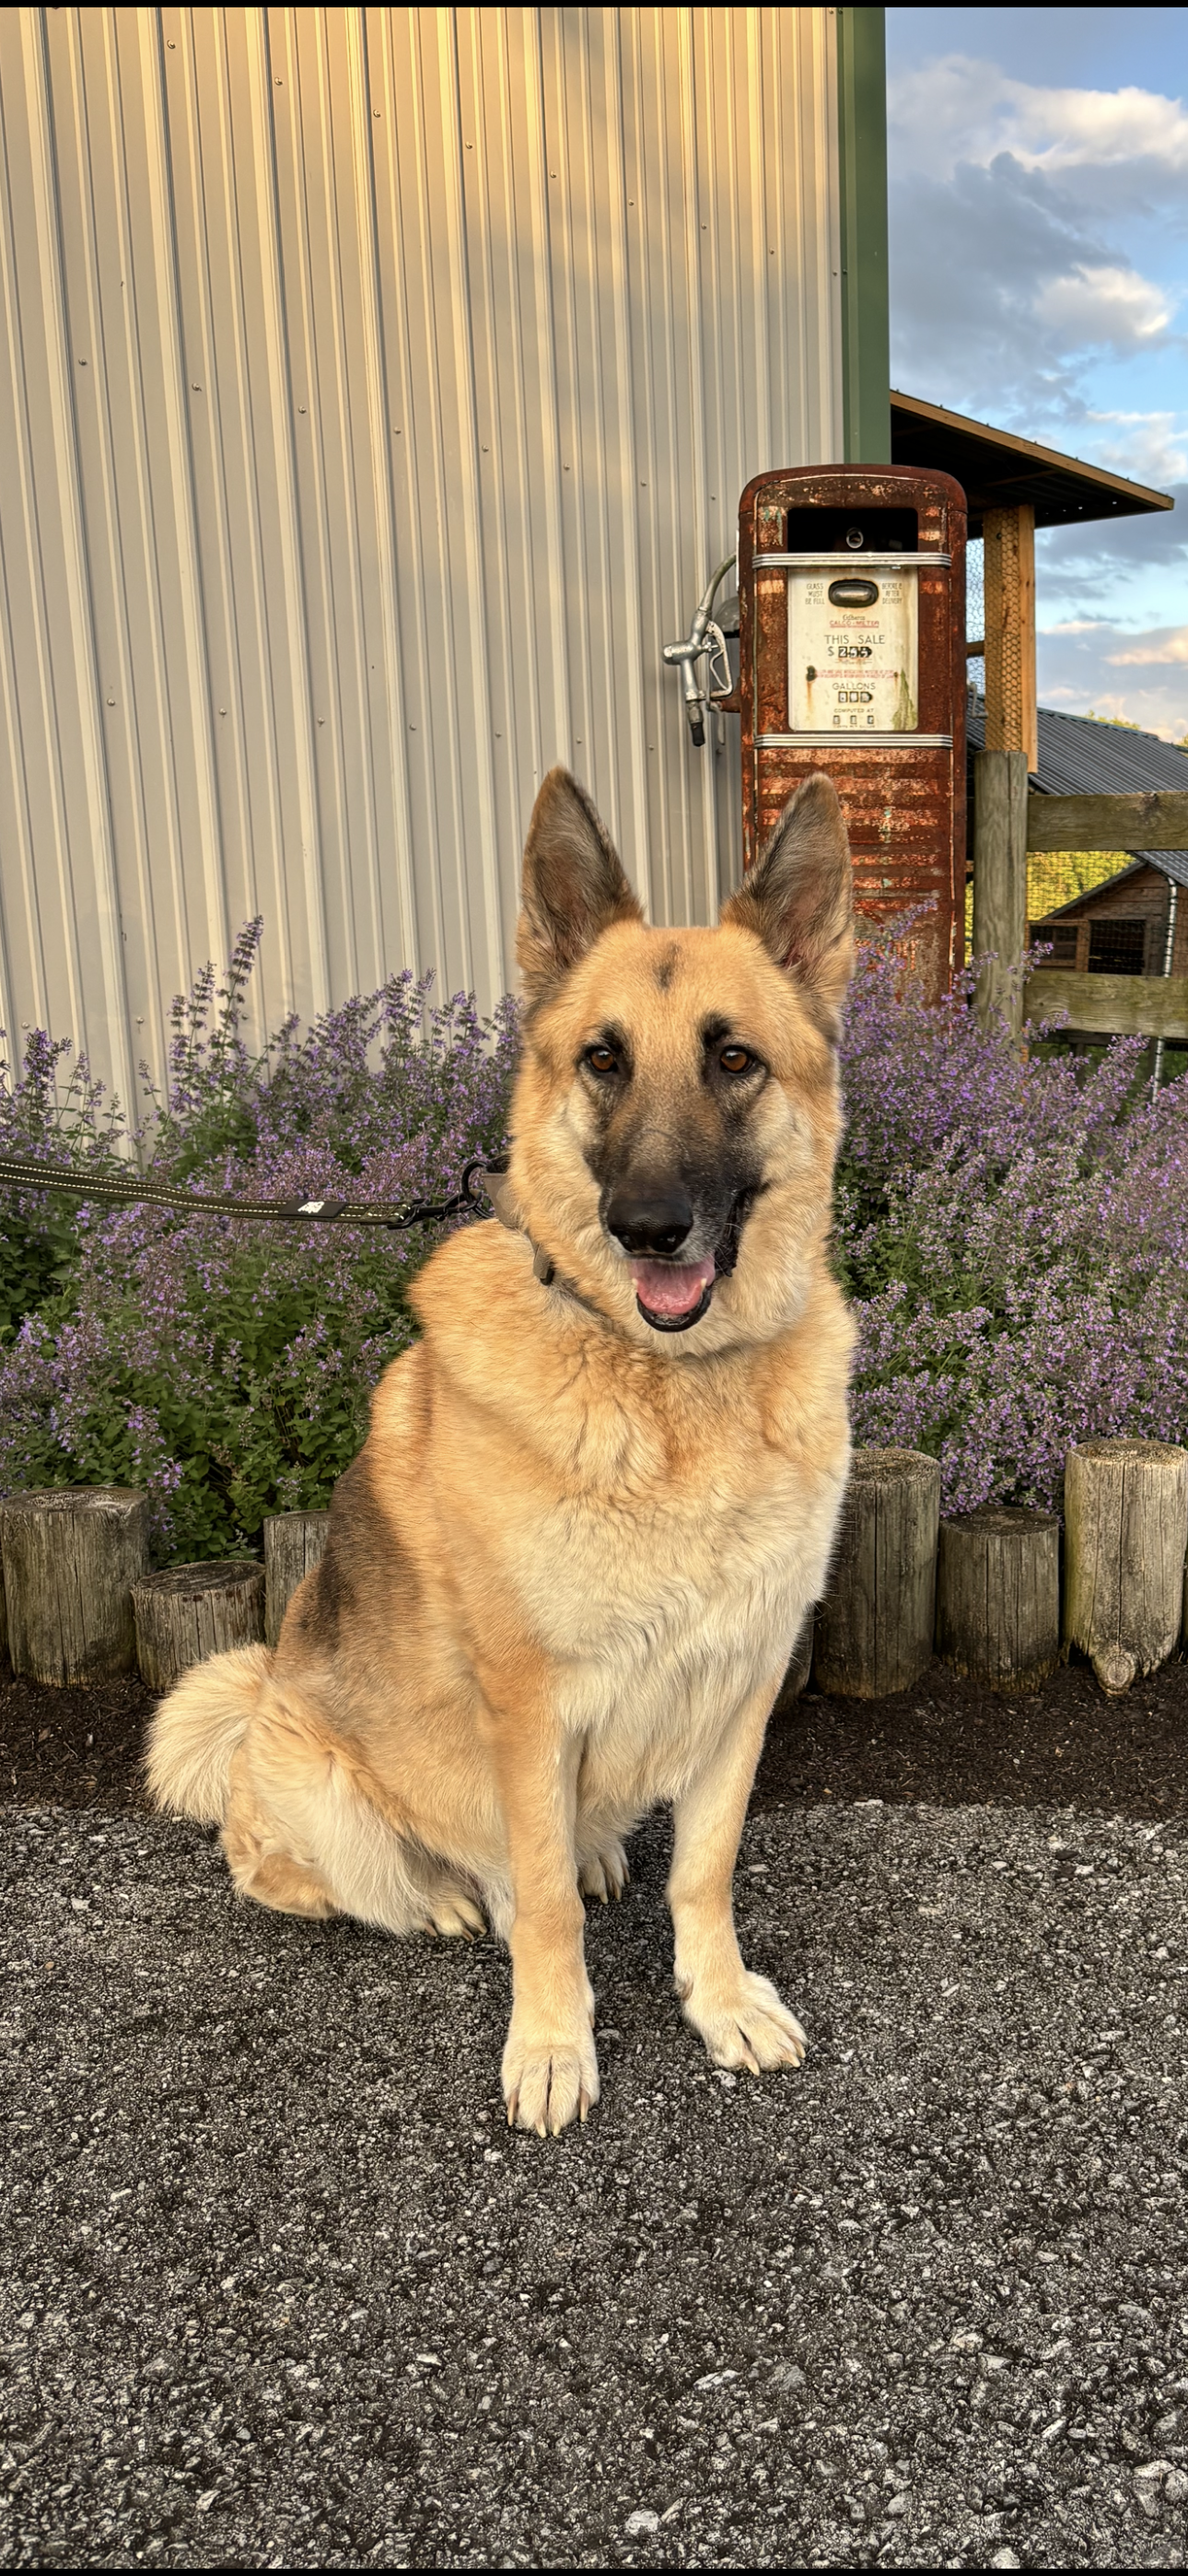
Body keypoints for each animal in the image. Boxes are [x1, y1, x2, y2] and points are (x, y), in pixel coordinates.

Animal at [147, 757, 850, 2133]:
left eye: (735, 1059)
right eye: (602, 1060)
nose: (646, 1229)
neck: (667, 1388)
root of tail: (261, 1696)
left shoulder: (739, 1691)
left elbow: (703, 1874)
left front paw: (718, 2002)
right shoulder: (529, 1707)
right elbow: (544, 1914)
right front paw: (553, 2045)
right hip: (317, 1785)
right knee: (301, 1869)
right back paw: (433, 1896)